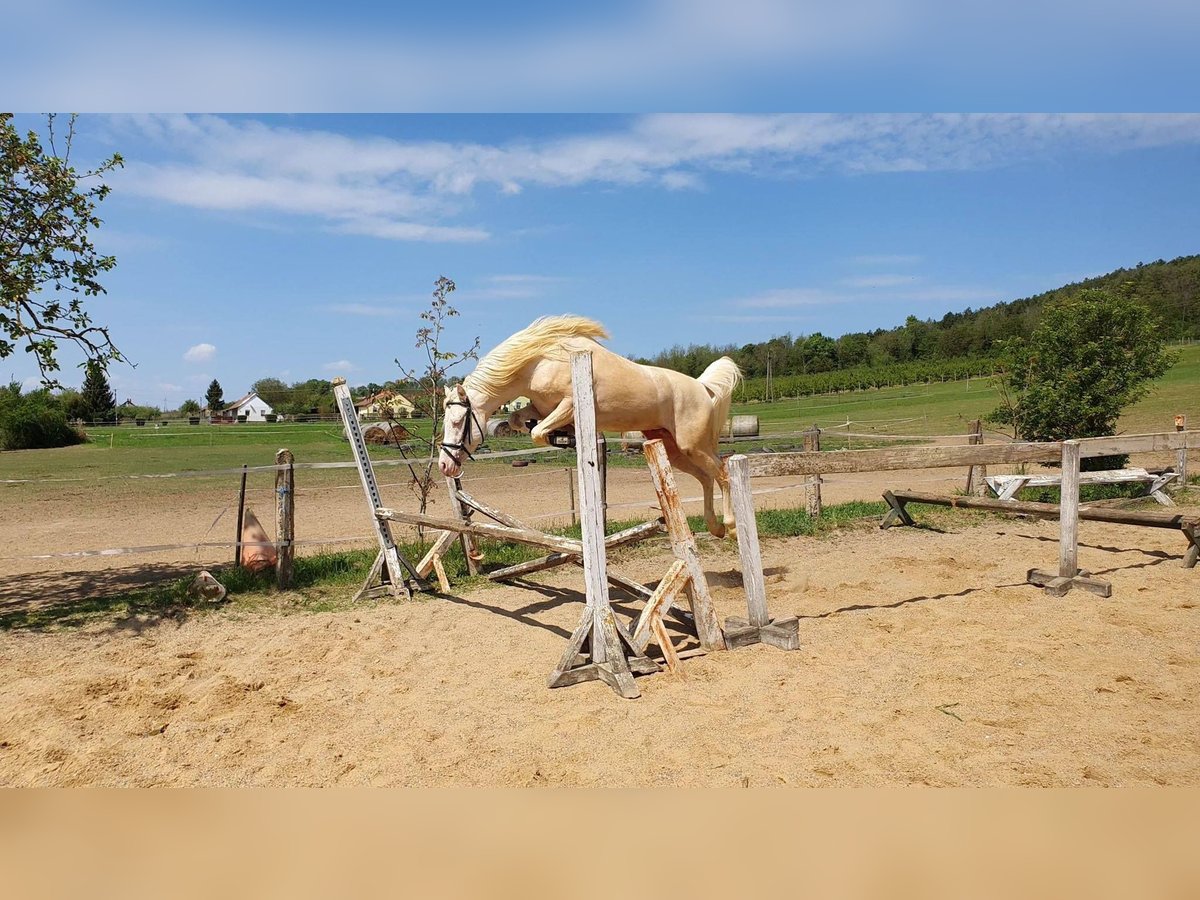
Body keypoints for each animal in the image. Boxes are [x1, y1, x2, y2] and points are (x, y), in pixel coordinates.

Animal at [441, 319, 739, 535]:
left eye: (457, 422)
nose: (445, 466)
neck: (538, 361)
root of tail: (702, 387)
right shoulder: (541, 408)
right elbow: (520, 421)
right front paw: (562, 435)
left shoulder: (569, 403)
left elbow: (537, 432)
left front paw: (562, 437)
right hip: (672, 448)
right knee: (705, 478)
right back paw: (715, 528)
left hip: (693, 445)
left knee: (723, 472)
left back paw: (731, 526)